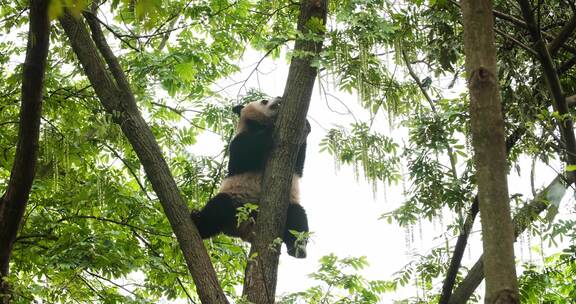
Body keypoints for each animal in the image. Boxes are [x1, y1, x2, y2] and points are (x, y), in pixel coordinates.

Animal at [191, 96, 310, 258]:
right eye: (264, 101)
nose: (279, 98)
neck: (258, 125)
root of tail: (246, 232)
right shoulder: (240, 140)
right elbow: (243, 152)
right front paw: (270, 131)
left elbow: (298, 167)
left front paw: (306, 126)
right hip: (238, 203)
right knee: (218, 208)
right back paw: (197, 222)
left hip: (285, 206)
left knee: (297, 218)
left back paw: (298, 249)